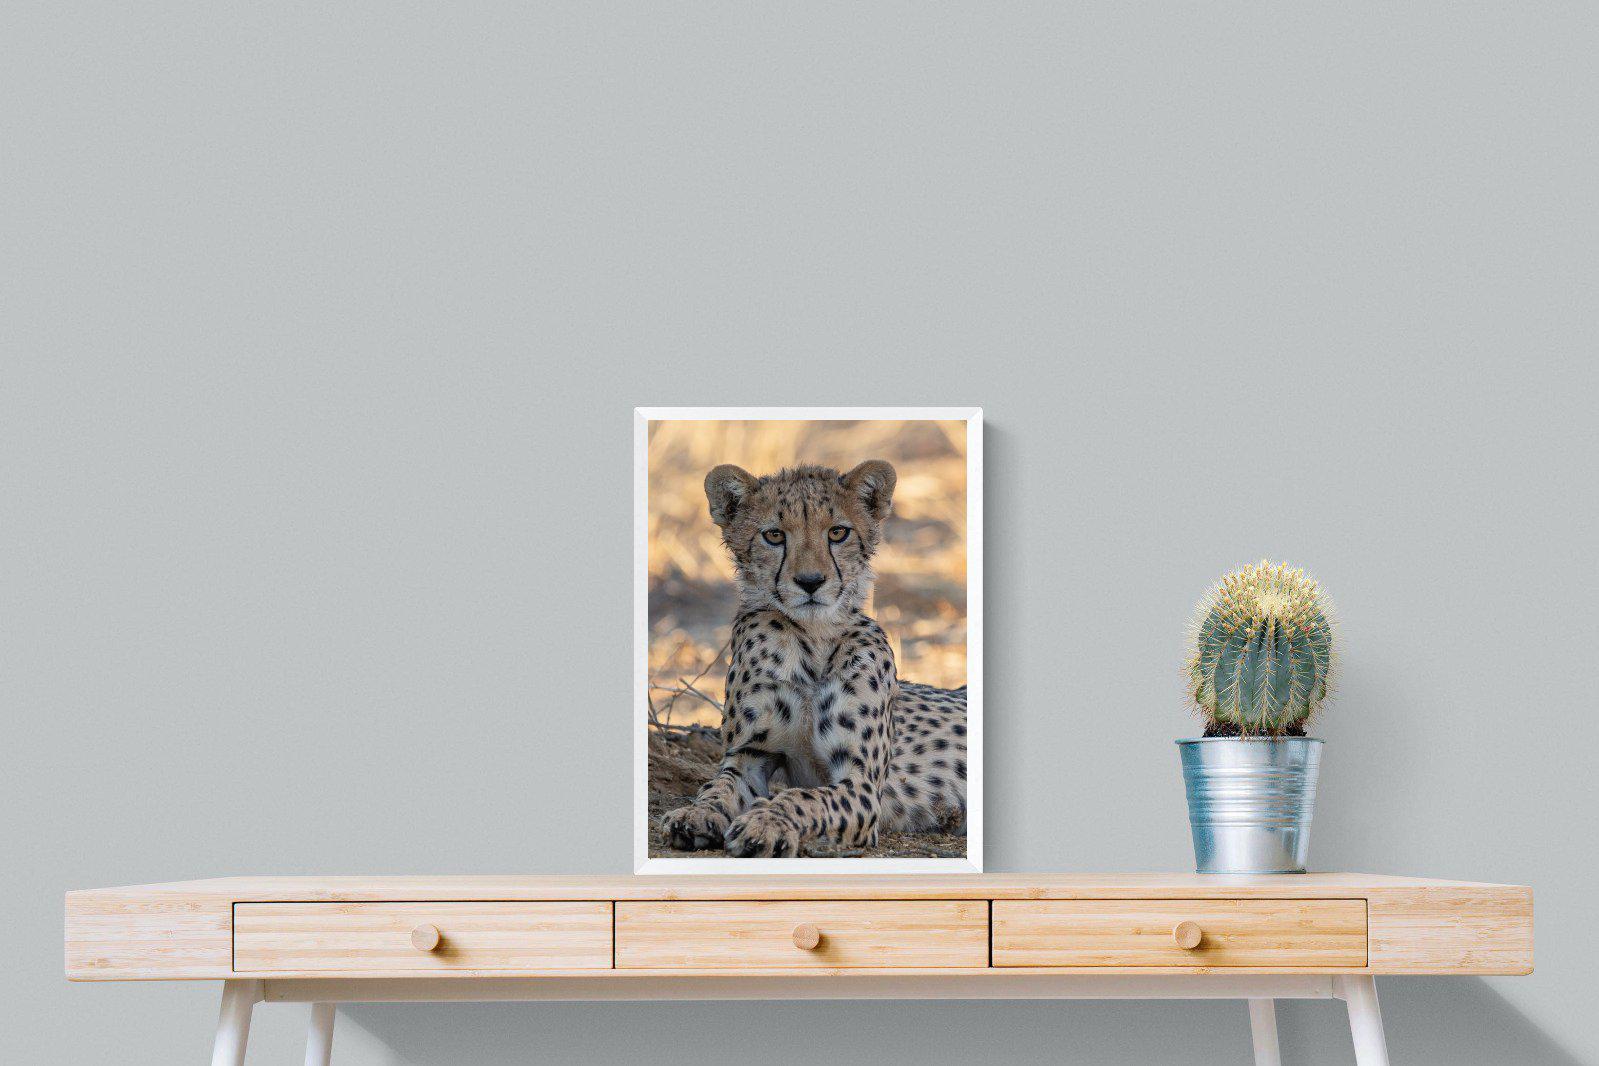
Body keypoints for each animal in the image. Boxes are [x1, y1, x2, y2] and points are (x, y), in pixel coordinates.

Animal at [659, 459, 967, 858]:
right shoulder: (749, 755)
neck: (813, 639)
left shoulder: (861, 783)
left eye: (837, 532)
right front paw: (696, 814)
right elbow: (718, 787)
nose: (810, 581)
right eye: (774, 536)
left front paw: (766, 822)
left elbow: (804, 798)